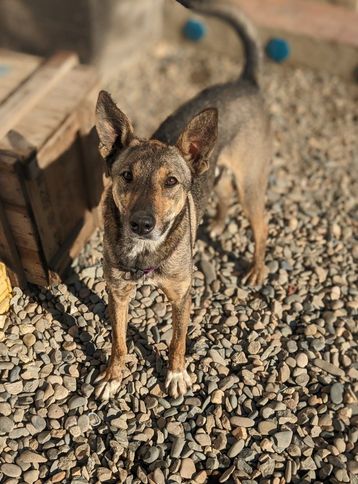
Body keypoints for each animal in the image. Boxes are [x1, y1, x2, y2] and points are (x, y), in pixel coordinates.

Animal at [93, 0, 270, 398]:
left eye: (171, 181)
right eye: (126, 176)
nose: (142, 224)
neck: (145, 254)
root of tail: (245, 81)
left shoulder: (181, 295)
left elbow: (177, 342)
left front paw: (175, 374)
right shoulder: (117, 294)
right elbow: (119, 341)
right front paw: (113, 376)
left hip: (251, 184)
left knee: (262, 225)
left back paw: (256, 268)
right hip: (221, 173)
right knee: (222, 194)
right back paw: (215, 224)